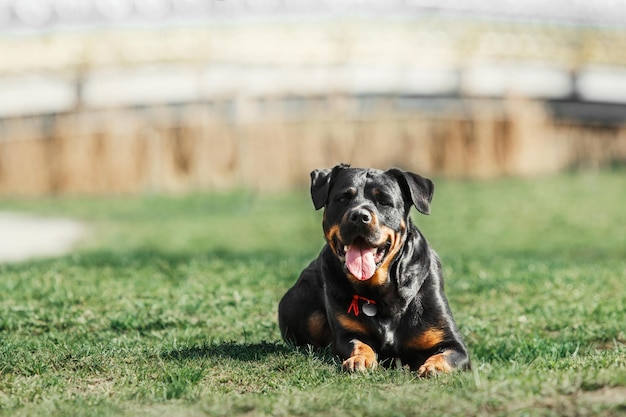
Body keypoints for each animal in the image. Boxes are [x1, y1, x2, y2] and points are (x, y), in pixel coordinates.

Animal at [278, 164, 468, 376]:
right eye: (342, 198)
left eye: (384, 202)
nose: (360, 216)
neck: (379, 291)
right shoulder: (347, 334)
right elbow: (359, 344)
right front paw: (359, 359)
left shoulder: (453, 343)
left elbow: (447, 354)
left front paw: (433, 366)